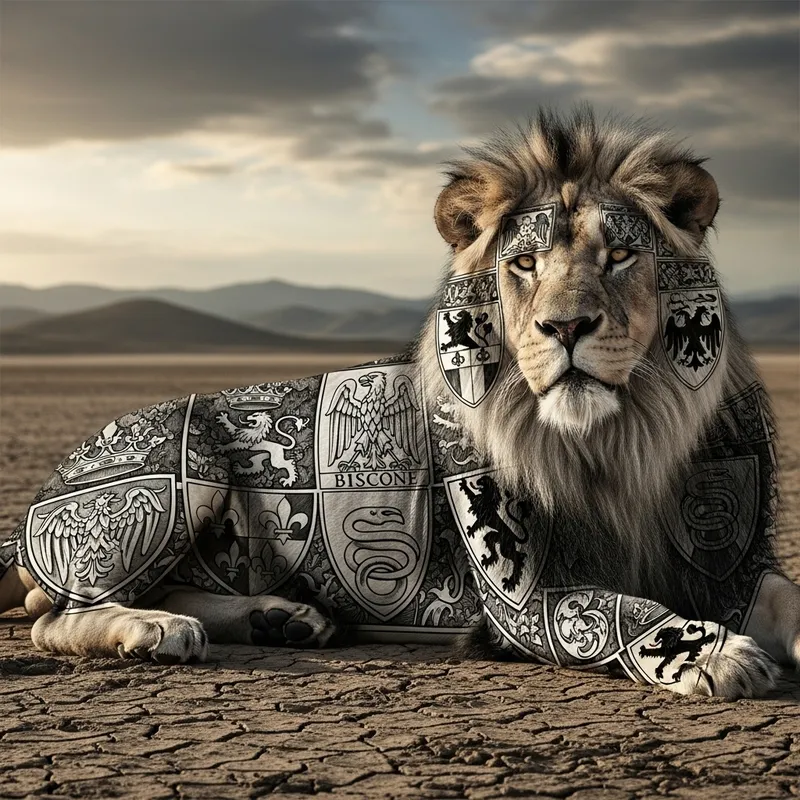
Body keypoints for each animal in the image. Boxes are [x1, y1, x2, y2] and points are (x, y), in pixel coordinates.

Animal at [1, 108, 798, 699]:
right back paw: (156, 631)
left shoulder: (728, 561)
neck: (620, 437)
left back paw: (281, 621)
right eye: (524, 263)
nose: (566, 326)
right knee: (55, 618)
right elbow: (630, 609)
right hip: (181, 460)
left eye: (621, 256)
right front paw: (713, 653)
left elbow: (787, 595)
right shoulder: (527, 599)